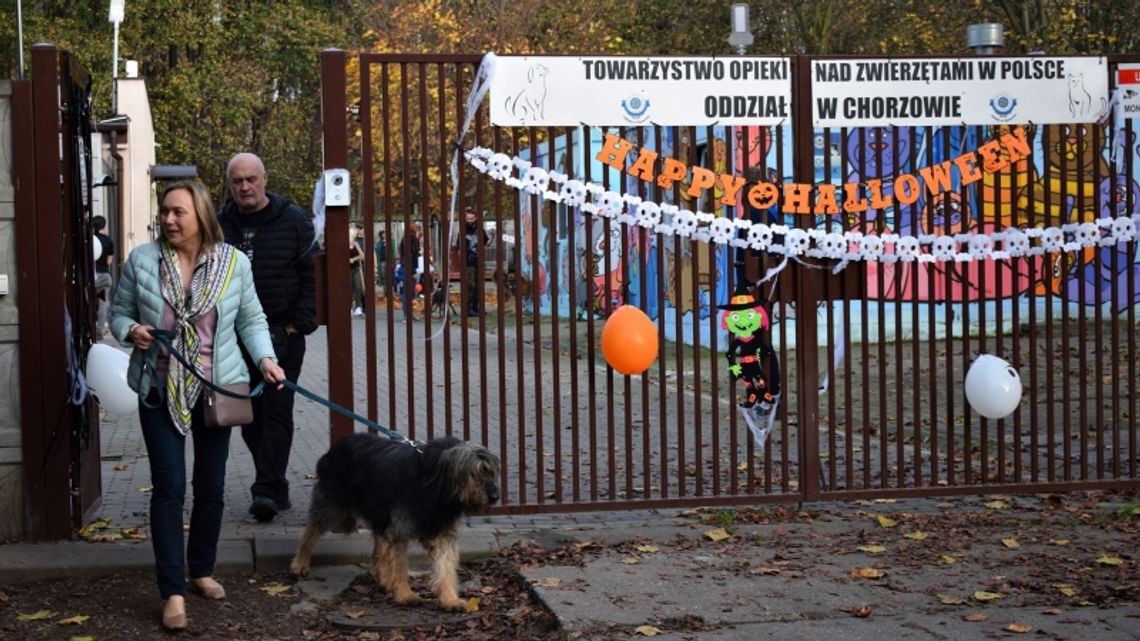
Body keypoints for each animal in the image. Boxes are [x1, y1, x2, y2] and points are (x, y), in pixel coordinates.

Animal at [289, 431, 499, 606]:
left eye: (491, 472)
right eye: (476, 473)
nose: (495, 497)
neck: (435, 483)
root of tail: (338, 445)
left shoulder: (442, 531)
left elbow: (445, 565)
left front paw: (451, 599)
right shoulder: (401, 529)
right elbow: (399, 565)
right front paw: (406, 595)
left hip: (379, 511)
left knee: (380, 545)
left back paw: (384, 579)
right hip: (333, 504)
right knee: (311, 530)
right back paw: (300, 564)